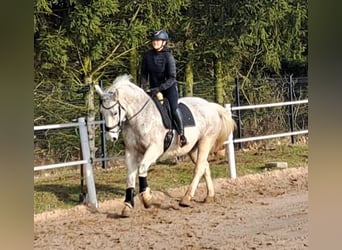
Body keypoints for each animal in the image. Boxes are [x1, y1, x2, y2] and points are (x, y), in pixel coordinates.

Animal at [95, 74, 236, 217]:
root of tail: (210, 105)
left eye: (114, 112)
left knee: (199, 168)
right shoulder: (131, 152)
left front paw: (147, 199)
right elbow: (130, 176)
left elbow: (142, 168)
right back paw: (209, 195)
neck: (140, 117)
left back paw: (186, 198)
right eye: (102, 112)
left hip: (205, 141)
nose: (111, 137)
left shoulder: (154, 149)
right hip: (192, 148)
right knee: (205, 166)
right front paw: (128, 205)